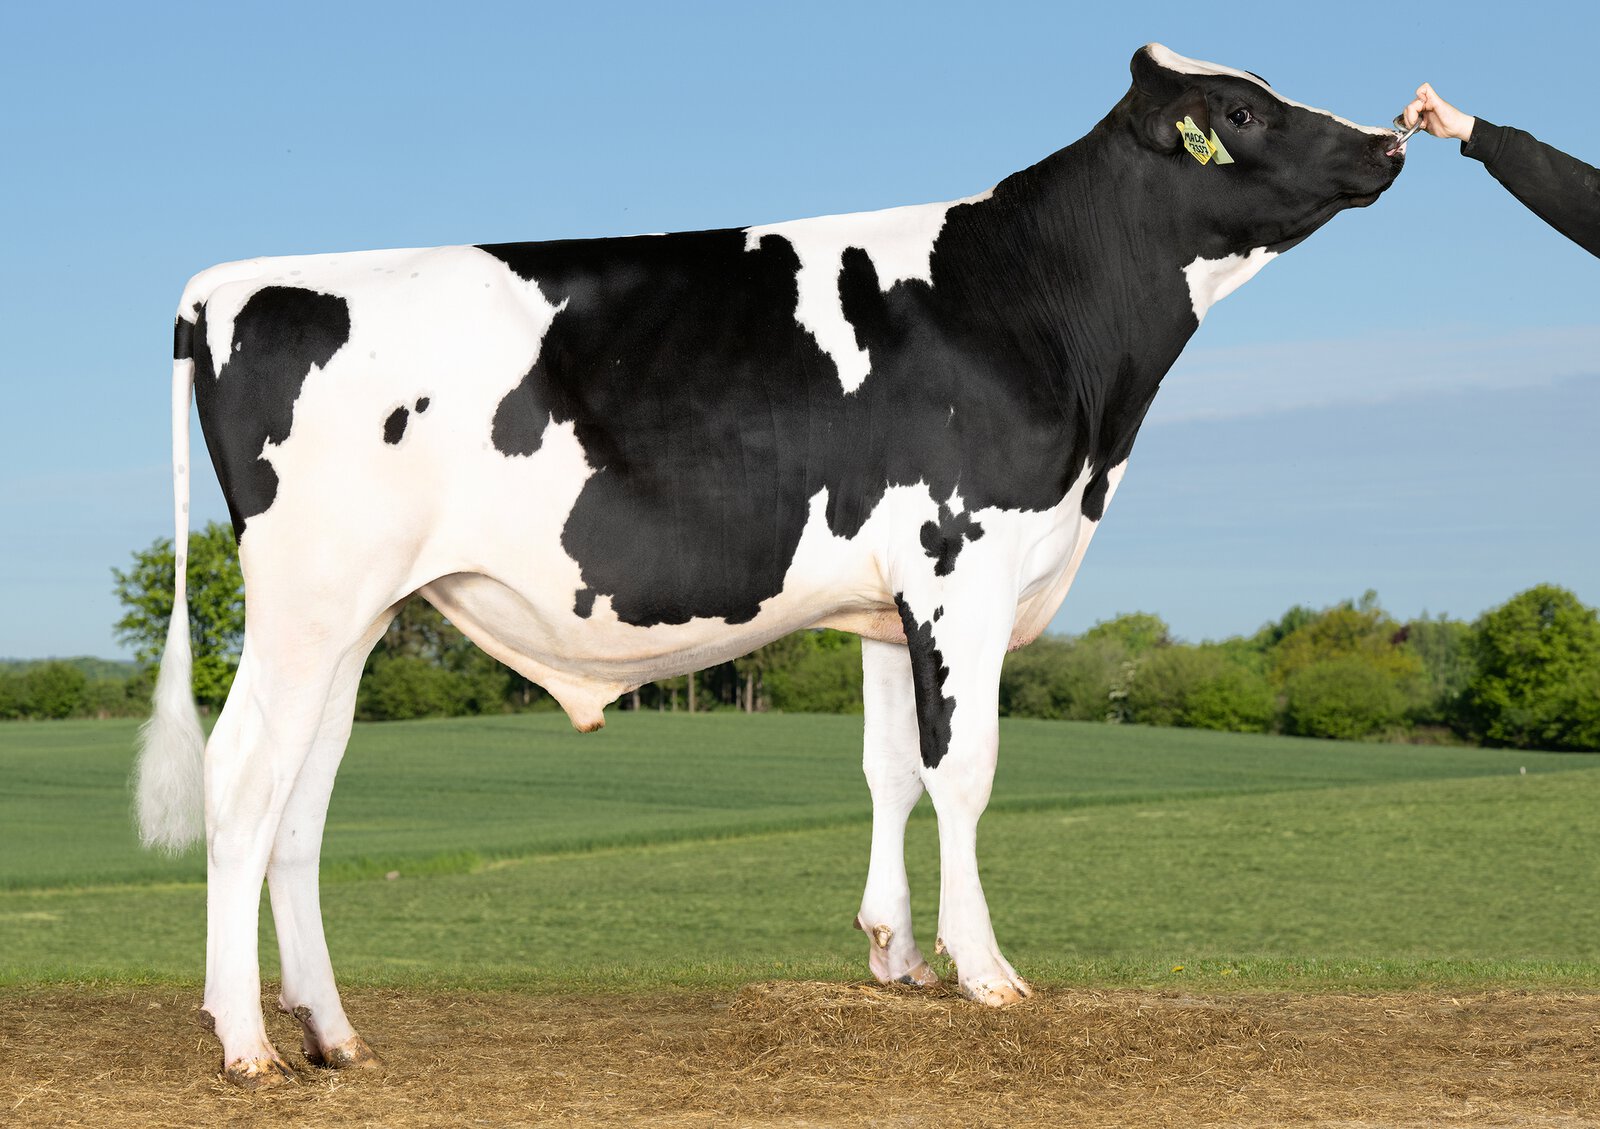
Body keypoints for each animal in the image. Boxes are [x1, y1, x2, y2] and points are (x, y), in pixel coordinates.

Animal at [136, 44, 1405, 1086]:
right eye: (1242, 110)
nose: (1390, 140)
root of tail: (230, 283)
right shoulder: (962, 562)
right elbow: (963, 770)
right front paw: (986, 971)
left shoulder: (895, 598)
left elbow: (891, 769)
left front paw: (898, 957)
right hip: (308, 598)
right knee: (242, 774)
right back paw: (243, 1041)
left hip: (354, 616)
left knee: (302, 798)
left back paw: (332, 1032)